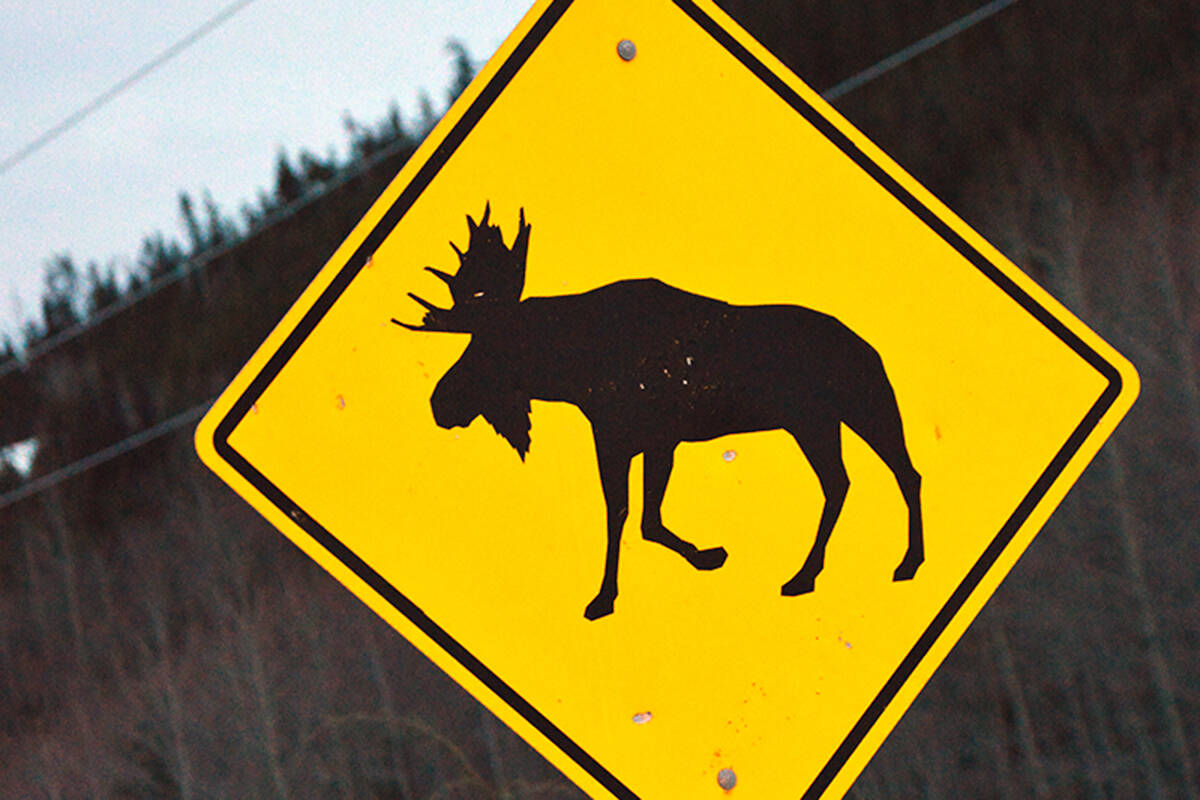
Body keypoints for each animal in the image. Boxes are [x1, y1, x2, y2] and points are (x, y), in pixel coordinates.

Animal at [394, 205, 923, 620]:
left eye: (490, 342)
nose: (440, 401)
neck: (571, 369)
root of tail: (867, 347)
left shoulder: (625, 438)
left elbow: (624, 514)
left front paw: (605, 597)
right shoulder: (650, 440)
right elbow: (645, 517)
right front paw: (704, 556)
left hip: (852, 411)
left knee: (887, 475)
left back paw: (889, 564)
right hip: (826, 419)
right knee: (862, 478)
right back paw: (823, 571)